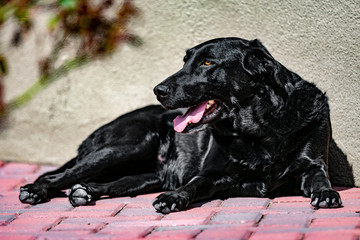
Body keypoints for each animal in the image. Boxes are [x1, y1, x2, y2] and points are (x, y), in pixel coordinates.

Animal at [20, 38, 344, 213]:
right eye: (185, 60)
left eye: (208, 64)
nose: (158, 90)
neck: (259, 133)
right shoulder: (211, 174)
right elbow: (193, 184)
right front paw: (174, 198)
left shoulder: (313, 164)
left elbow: (320, 178)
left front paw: (327, 194)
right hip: (129, 145)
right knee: (55, 176)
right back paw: (35, 191)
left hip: (146, 176)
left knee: (107, 183)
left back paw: (85, 191)